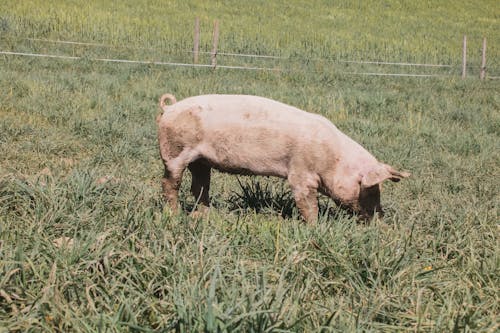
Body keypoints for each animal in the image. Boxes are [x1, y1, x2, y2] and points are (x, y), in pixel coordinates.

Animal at [157, 93, 410, 223]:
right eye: (371, 189)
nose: (381, 218)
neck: (333, 159)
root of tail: (168, 109)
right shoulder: (300, 173)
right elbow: (307, 204)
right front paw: (315, 227)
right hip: (174, 152)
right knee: (170, 183)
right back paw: (174, 214)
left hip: (201, 161)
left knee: (199, 185)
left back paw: (204, 215)